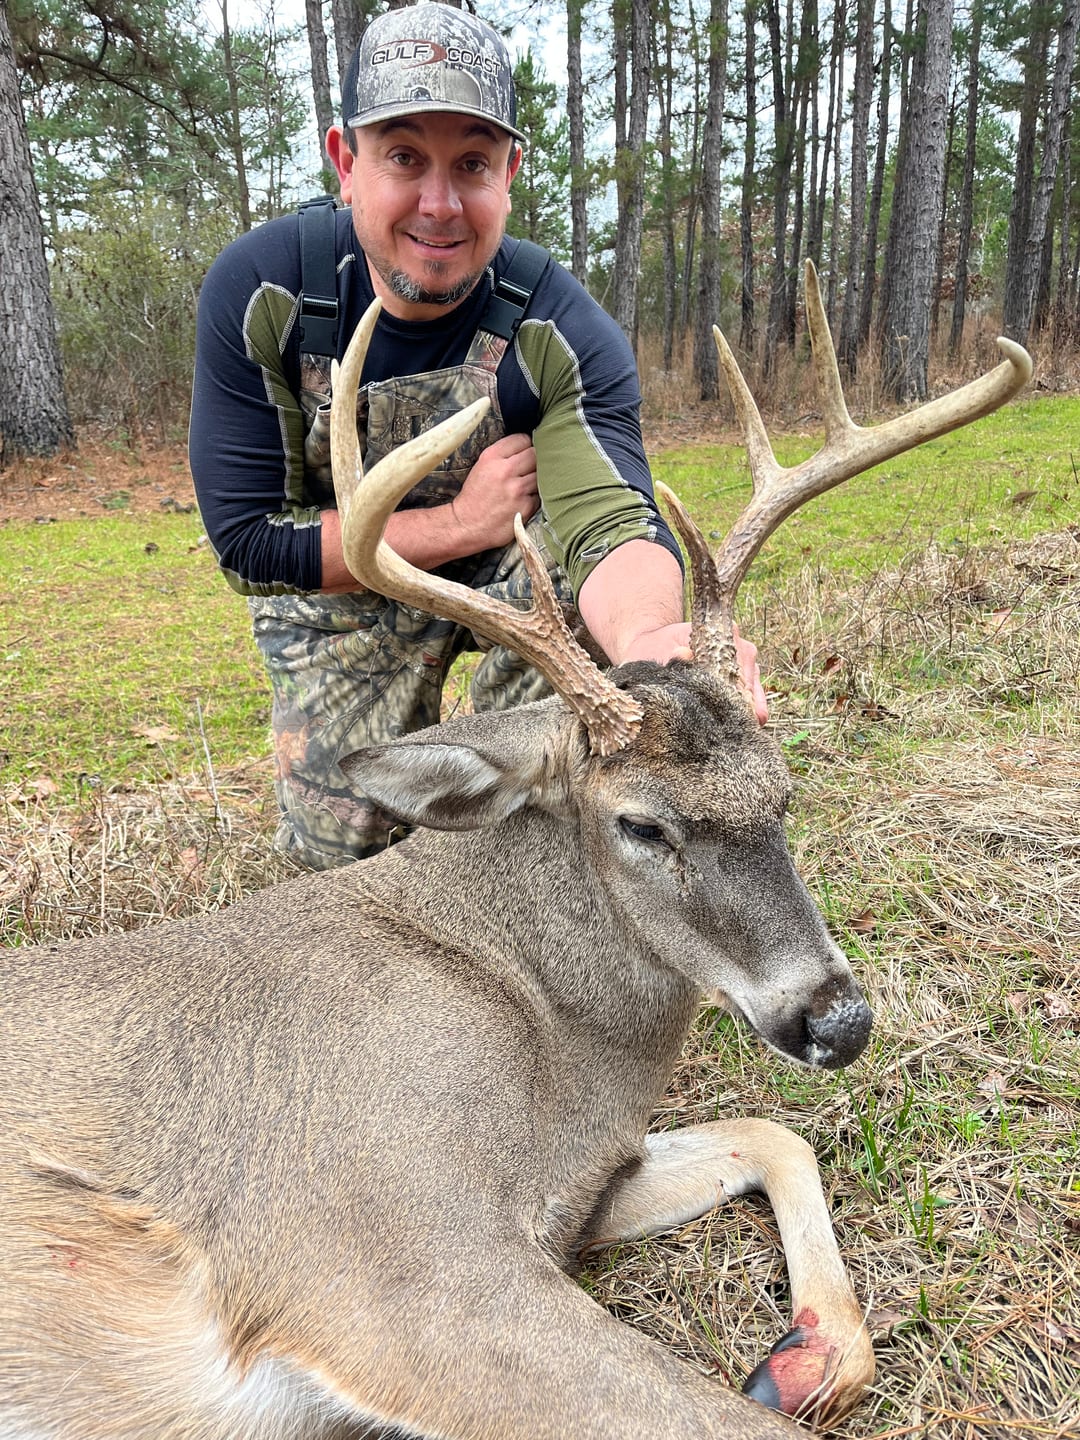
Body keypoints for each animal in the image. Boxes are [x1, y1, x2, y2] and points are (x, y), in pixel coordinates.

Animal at [0, 263, 1031, 1440]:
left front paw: (804, 1357)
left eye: (784, 790)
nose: (840, 1021)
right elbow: (725, 1420)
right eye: (641, 824)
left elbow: (779, 1134)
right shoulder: (392, 1258)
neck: (547, 1032)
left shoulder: (582, 1187)